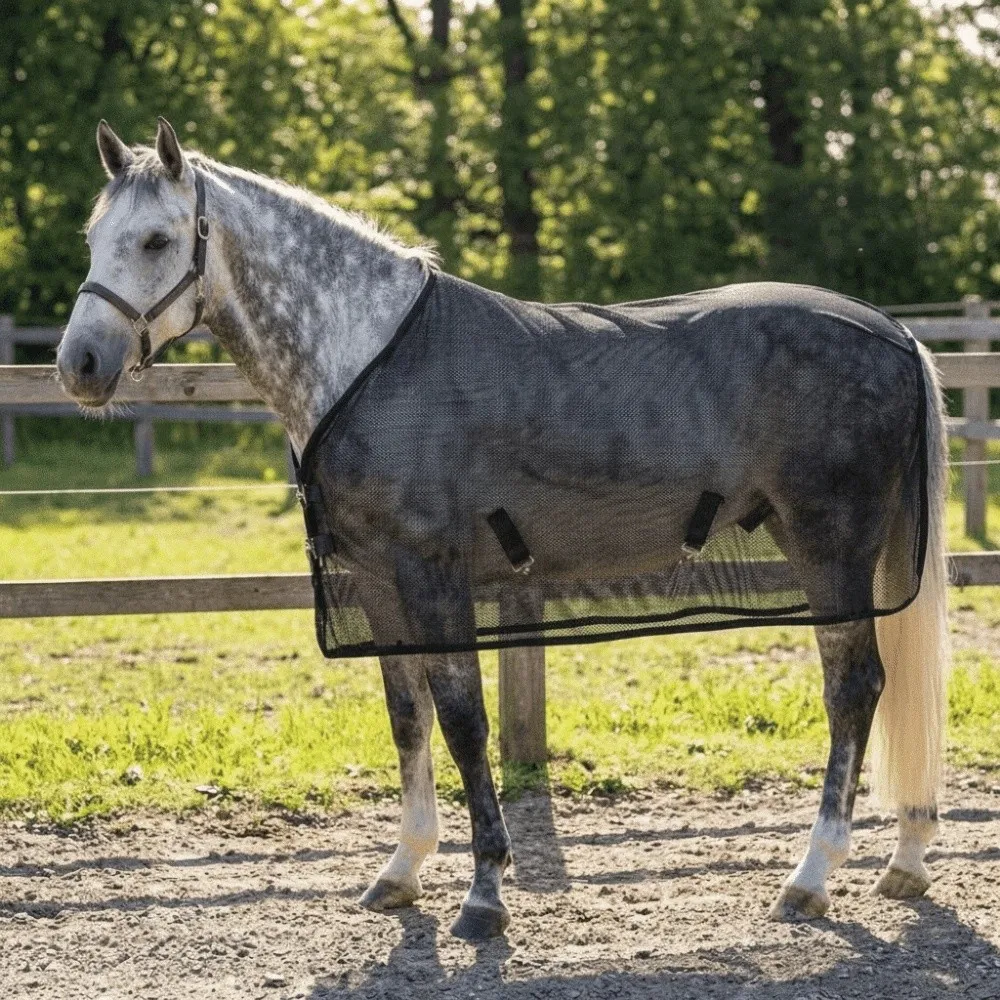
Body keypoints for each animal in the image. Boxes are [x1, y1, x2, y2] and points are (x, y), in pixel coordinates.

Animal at [56, 118, 950, 941]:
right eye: (93, 238)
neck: (368, 358)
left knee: (853, 688)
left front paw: (484, 894)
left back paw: (811, 877)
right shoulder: (378, 581)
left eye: (157, 238)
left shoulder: (433, 575)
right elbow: (407, 717)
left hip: (831, 548)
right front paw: (401, 871)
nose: (79, 366)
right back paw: (903, 862)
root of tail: (896, 332)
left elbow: (462, 720)